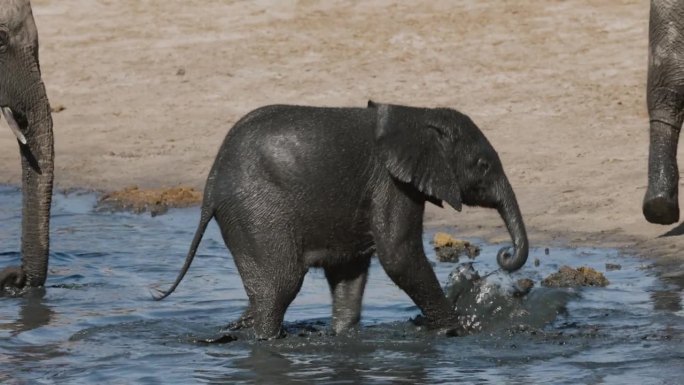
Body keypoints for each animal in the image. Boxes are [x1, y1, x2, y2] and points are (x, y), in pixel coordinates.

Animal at [155, 100, 528, 338]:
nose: (505, 254)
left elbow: (350, 274)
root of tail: (210, 186)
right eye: (483, 166)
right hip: (256, 210)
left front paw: (342, 338)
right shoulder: (391, 185)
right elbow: (399, 257)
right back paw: (267, 342)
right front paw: (457, 330)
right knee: (281, 285)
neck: (418, 116)